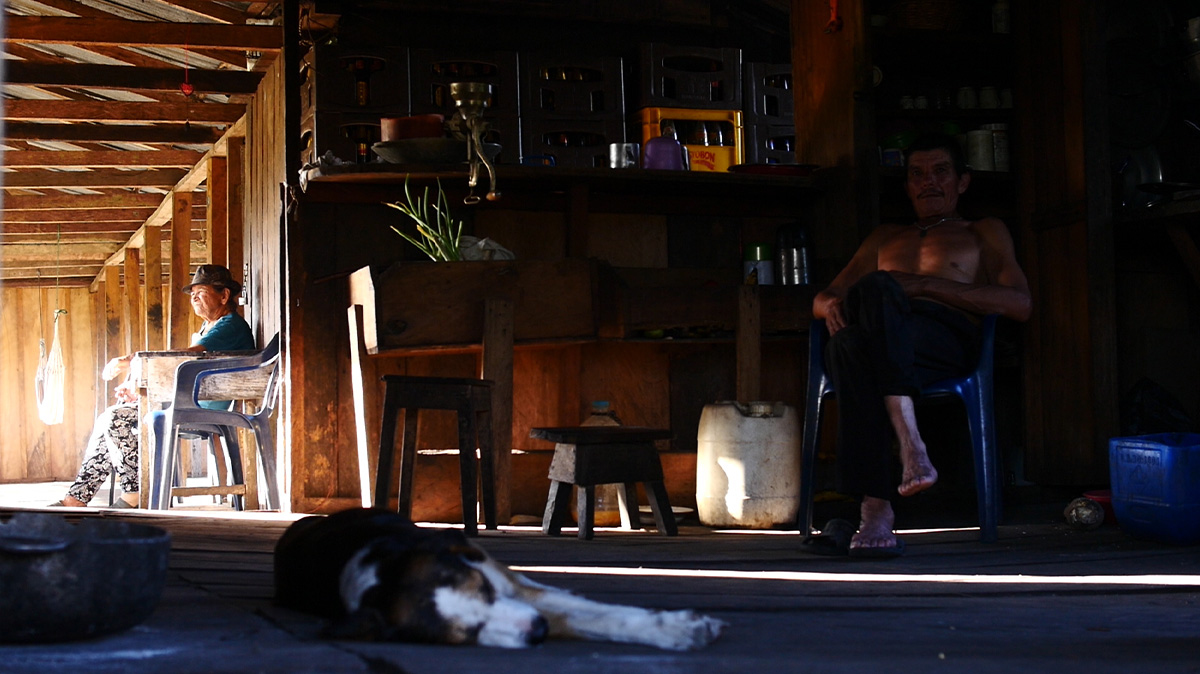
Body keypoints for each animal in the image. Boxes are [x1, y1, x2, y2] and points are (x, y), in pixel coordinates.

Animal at [274, 508, 724, 650]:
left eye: (486, 590)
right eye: (467, 634)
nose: (537, 632)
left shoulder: (513, 585)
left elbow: (594, 612)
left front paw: (674, 628)